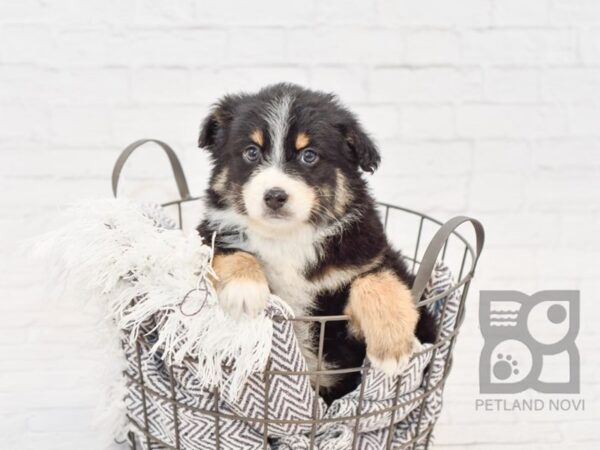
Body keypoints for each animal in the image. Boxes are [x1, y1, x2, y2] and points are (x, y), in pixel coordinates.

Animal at [197, 84, 436, 404]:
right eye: (251, 152)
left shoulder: (371, 255)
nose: (275, 196)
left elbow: (376, 280)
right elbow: (226, 250)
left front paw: (393, 347)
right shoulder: (205, 232)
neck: (287, 237)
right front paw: (244, 290)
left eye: (309, 156)